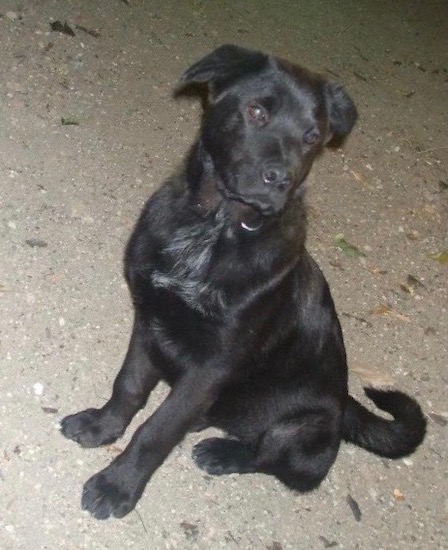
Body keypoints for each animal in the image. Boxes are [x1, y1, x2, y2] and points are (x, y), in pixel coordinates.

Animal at [60, 45, 428, 520]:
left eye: (312, 136)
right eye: (256, 112)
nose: (281, 179)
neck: (216, 227)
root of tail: (344, 404)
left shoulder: (212, 365)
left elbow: (157, 430)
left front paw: (118, 485)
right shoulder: (150, 320)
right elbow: (129, 387)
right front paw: (100, 426)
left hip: (302, 430)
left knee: (277, 461)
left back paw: (224, 453)